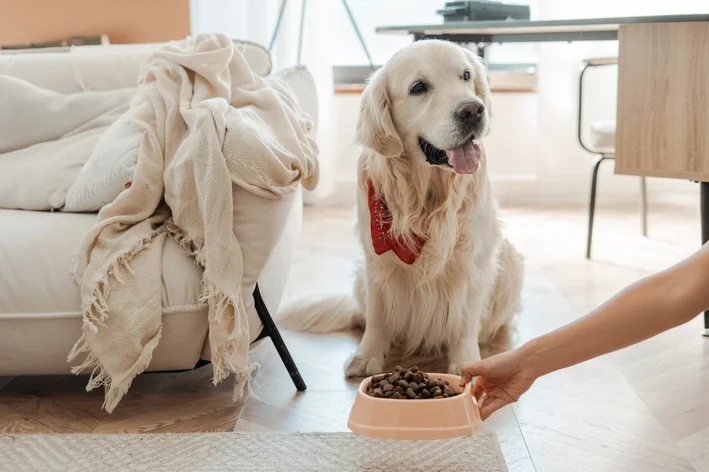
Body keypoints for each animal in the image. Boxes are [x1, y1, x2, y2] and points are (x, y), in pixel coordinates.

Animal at [280, 41, 524, 380]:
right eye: (418, 87)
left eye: (465, 75)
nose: (474, 110)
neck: (426, 196)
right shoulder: (376, 257)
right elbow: (378, 315)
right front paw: (367, 355)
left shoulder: (473, 258)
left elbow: (465, 319)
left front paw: (465, 362)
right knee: (362, 313)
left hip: (510, 258)